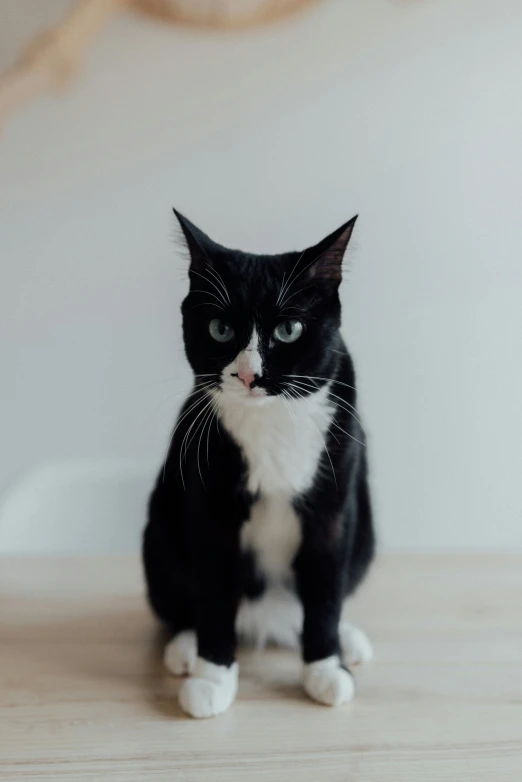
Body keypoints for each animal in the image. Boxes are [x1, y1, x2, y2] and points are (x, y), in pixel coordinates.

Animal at [142, 211, 374, 720]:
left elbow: (326, 588)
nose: (249, 375)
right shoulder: (211, 509)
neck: (272, 419)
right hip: (159, 530)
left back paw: (347, 639)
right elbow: (212, 589)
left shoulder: (333, 508)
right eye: (219, 329)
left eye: (288, 330)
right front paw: (212, 676)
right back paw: (185, 647)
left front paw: (325, 668)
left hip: (364, 532)